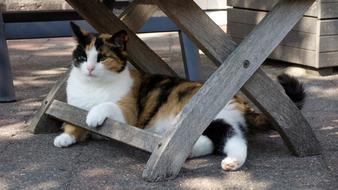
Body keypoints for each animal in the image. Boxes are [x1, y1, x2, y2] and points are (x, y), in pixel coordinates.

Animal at [53, 21, 306, 171]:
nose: (89, 68)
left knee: (232, 140)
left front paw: (92, 117)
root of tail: (241, 101)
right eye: (83, 57)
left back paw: (230, 162)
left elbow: (106, 106)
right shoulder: (72, 106)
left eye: (102, 58)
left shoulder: (128, 115)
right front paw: (66, 137)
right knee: (217, 141)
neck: (92, 87)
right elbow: (71, 121)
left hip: (207, 116)